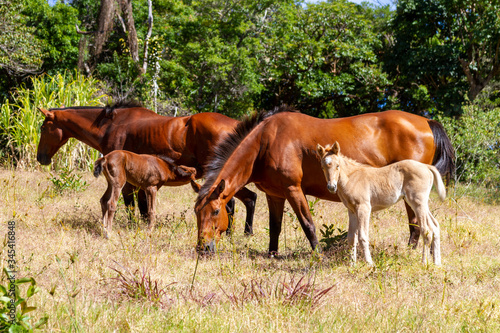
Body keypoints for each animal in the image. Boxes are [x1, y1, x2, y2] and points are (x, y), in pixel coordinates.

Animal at [37, 103, 258, 233]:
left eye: (42, 128)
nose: (41, 158)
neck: (111, 126)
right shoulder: (141, 182)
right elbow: (143, 208)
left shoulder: (127, 183)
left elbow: (131, 206)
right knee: (249, 198)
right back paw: (242, 232)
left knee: (233, 202)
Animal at [316, 141, 446, 264]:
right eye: (322, 167)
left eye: (337, 166)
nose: (331, 187)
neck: (352, 178)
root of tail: (426, 166)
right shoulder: (352, 211)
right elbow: (351, 237)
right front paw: (352, 264)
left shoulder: (364, 208)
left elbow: (362, 236)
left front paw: (369, 263)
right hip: (421, 204)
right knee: (435, 226)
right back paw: (437, 263)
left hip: (417, 203)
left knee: (427, 230)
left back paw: (424, 262)